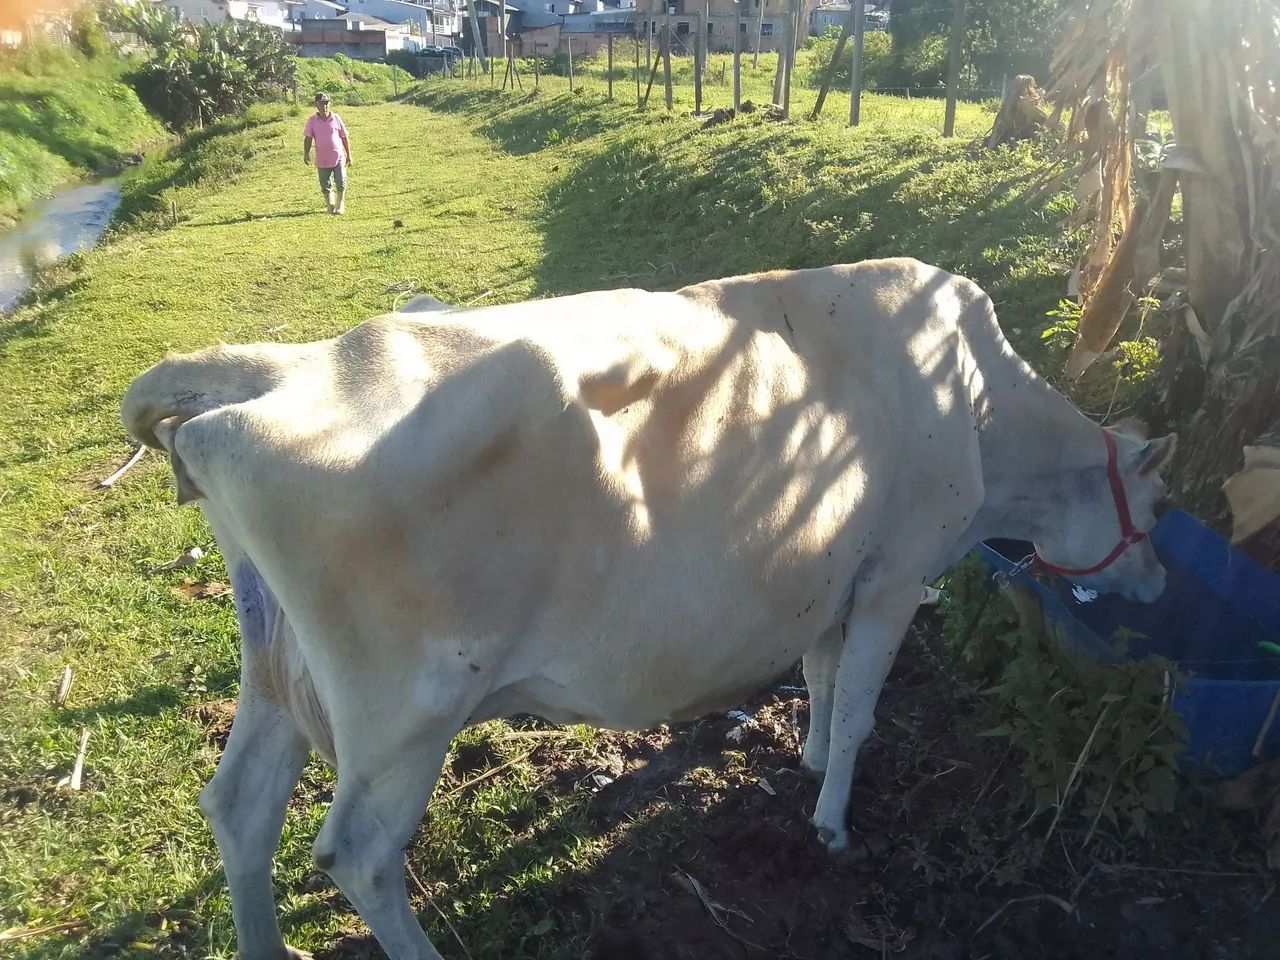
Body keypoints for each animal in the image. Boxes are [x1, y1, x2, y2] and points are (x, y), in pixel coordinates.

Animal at [122, 259, 1175, 960]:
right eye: (1160, 507)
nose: (1162, 579)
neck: (981, 409)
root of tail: (288, 368)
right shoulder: (896, 571)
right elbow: (863, 710)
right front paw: (833, 823)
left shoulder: (835, 574)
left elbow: (823, 676)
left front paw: (809, 758)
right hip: (403, 710)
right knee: (360, 858)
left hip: (277, 666)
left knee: (241, 808)